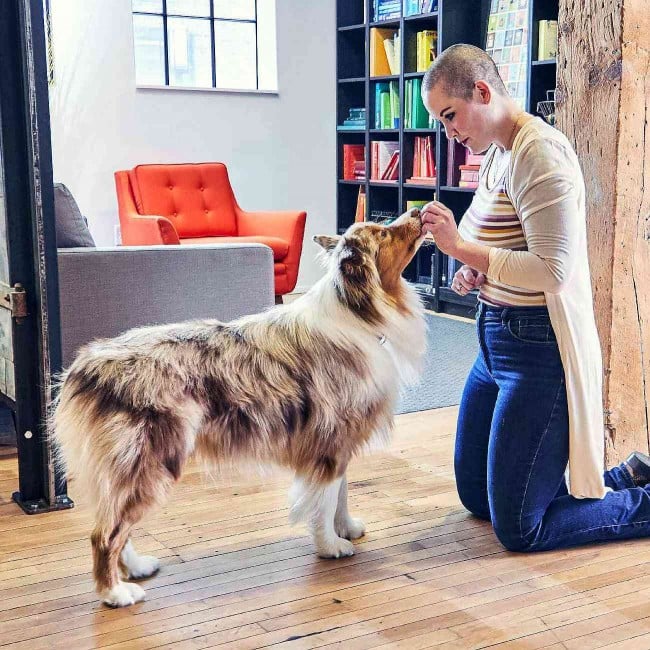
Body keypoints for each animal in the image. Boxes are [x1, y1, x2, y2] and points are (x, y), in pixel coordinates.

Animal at [50, 206, 426, 604]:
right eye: (383, 234)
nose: (418, 210)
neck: (359, 310)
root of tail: (86, 365)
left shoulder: (339, 443)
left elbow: (341, 492)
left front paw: (347, 527)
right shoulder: (329, 441)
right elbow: (323, 501)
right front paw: (331, 546)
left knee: (118, 524)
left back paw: (136, 568)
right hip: (151, 460)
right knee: (105, 533)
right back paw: (116, 593)